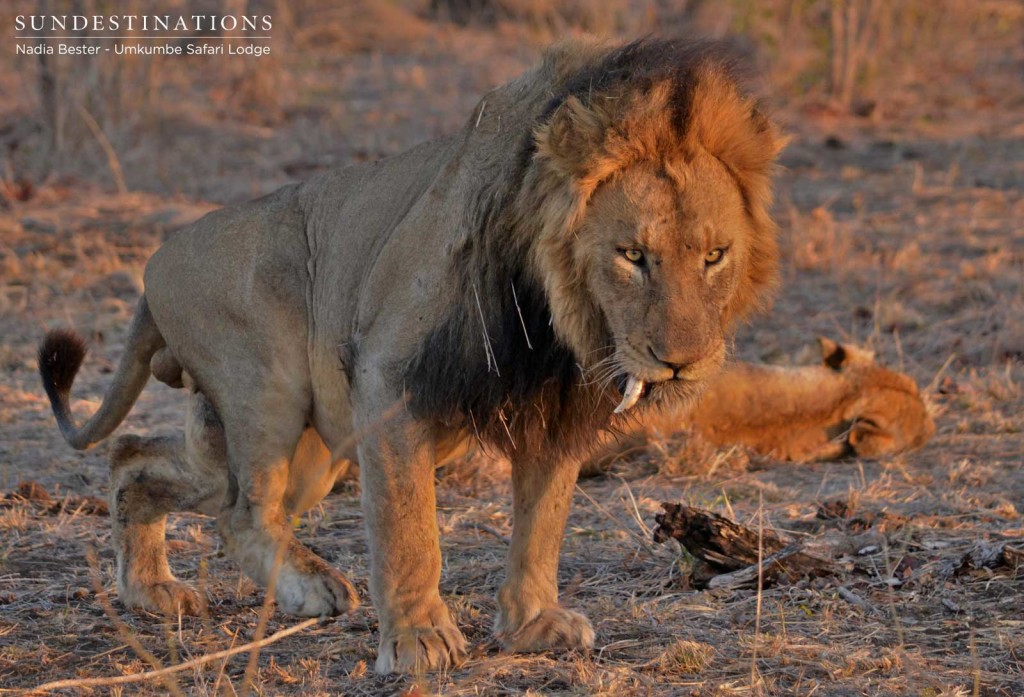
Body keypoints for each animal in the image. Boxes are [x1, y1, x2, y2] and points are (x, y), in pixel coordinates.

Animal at [36, 39, 778, 675]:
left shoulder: (554, 408)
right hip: (267, 389)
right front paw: (421, 639)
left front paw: (533, 624)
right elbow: (408, 526)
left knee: (141, 459)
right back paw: (310, 588)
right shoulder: (387, 379)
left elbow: (543, 521)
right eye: (632, 255)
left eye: (714, 256)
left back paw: (151, 590)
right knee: (243, 508)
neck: (555, 319)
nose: (681, 362)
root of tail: (152, 266)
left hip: (309, 454)